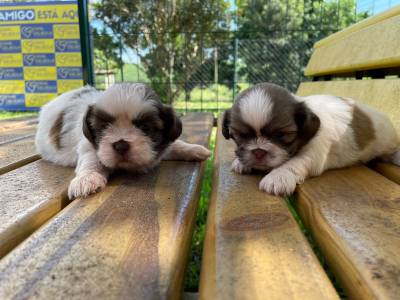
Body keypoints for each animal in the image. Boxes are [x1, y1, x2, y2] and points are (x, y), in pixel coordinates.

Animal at [35, 82, 211, 199]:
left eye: (145, 127)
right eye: (104, 126)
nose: (120, 145)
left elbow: (174, 145)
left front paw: (194, 149)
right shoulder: (89, 145)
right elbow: (92, 160)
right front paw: (87, 178)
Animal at [222, 82, 400, 195]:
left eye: (281, 135)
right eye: (240, 136)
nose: (258, 151)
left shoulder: (314, 154)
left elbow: (294, 162)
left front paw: (278, 177)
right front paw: (241, 162)